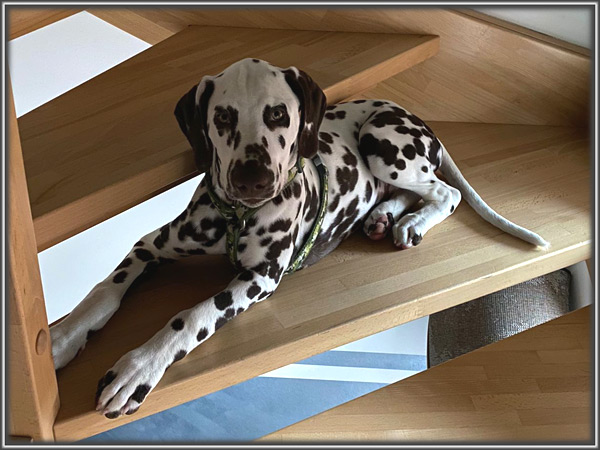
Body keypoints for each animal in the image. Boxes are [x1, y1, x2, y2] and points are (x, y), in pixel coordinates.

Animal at [50, 58, 548, 419]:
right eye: (223, 117)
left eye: (277, 114)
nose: (252, 178)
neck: (237, 217)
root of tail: (416, 118)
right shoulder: (152, 243)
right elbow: (105, 289)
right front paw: (64, 336)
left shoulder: (260, 279)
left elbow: (190, 315)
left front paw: (138, 368)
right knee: (409, 192)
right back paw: (383, 217)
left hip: (383, 143)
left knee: (445, 192)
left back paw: (413, 222)